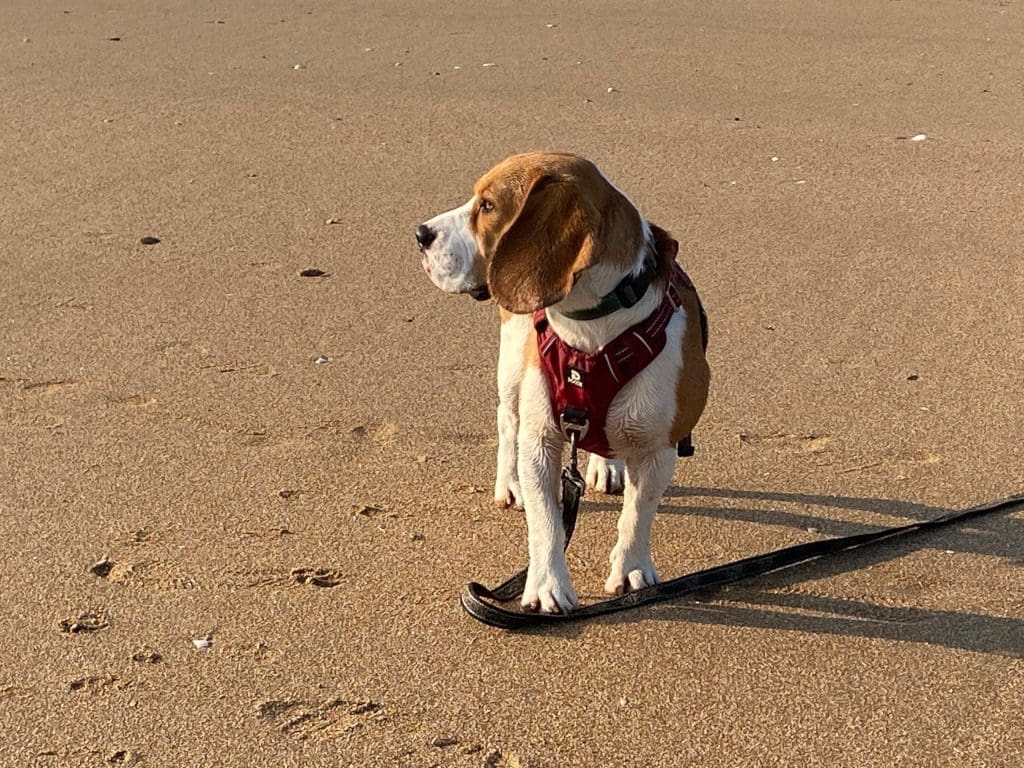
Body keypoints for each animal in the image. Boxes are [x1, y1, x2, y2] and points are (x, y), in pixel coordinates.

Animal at [411, 153, 708, 618]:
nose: (421, 234)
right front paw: (547, 583)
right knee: (506, 421)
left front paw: (632, 570)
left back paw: (605, 465)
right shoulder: (541, 440)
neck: (593, 330)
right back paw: (509, 483)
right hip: (514, 362)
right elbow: (546, 520)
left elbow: (638, 514)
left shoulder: (658, 448)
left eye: (488, 205)